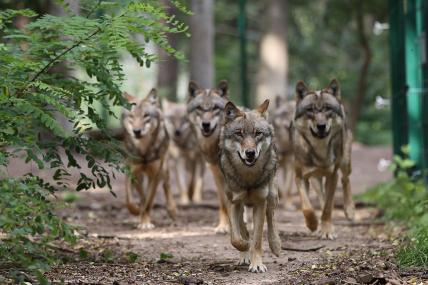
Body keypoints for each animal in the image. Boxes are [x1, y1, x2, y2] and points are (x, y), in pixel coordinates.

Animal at [120, 89, 177, 229]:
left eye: (146, 116)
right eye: (131, 116)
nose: (136, 131)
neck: (143, 151)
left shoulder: (154, 176)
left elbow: (149, 203)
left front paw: (145, 224)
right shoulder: (130, 172)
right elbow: (129, 200)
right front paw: (136, 212)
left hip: (164, 168)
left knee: (166, 186)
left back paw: (172, 210)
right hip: (139, 178)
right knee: (142, 195)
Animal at [187, 79, 232, 232]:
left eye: (215, 108)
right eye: (199, 108)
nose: (206, 124)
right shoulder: (216, 176)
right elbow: (224, 205)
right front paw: (223, 227)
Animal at [219, 99, 282, 270]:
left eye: (258, 133)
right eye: (239, 134)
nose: (250, 153)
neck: (247, 177)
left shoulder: (260, 202)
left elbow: (257, 240)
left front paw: (257, 265)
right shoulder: (232, 202)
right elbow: (235, 238)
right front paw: (245, 247)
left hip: (272, 196)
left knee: (271, 215)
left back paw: (276, 245)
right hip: (239, 204)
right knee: (243, 229)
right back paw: (244, 255)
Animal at [290, 79, 354, 239]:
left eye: (328, 108)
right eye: (310, 110)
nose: (321, 126)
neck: (319, 150)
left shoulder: (332, 176)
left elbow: (327, 209)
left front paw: (327, 232)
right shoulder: (300, 177)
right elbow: (307, 207)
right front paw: (312, 224)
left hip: (345, 162)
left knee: (345, 179)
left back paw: (349, 210)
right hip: (315, 180)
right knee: (322, 197)